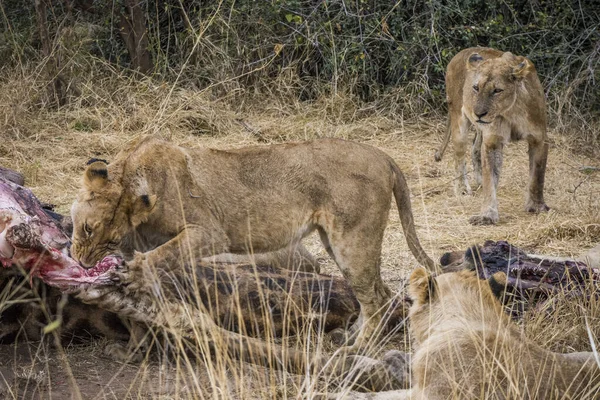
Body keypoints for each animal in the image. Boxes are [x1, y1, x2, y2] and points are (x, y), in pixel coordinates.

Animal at [70, 138, 436, 350]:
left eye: (102, 235)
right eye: (87, 229)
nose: (84, 264)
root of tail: (383, 156)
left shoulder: (210, 231)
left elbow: (162, 254)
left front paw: (131, 274)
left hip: (352, 239)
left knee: (375, 297)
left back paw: (356, 350)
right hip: (336, 241)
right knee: (380, 294)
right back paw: (350, 338)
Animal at [436, 47, 548, 225]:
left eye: (497, 90)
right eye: (476, 87)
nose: (478, 113)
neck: (511, 111)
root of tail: (460, 53)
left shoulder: (539, 139)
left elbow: (538, 175)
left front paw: (537, 207)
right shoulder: (492, 142)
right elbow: (490, 179)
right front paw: (487, 215)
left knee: (475, 148)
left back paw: (479, 180)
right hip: (459, 120)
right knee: (459, 156)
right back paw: (462, 189)